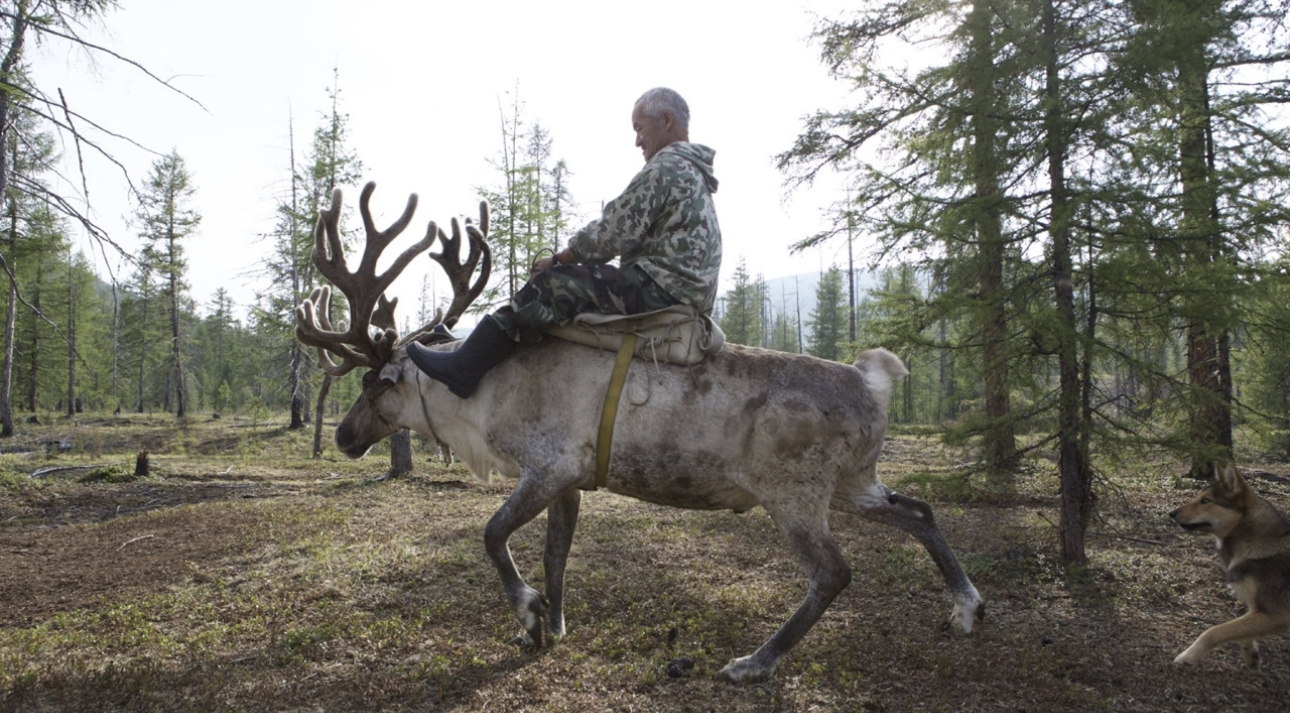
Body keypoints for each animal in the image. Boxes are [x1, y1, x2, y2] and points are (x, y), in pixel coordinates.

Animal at [1171, 464, 1290, 665]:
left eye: (1205, 501)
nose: (1171, 514)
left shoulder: (1276, 615)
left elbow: (1214, 632)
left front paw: (1188, 656)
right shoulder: (1258, 612)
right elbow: (1240, 632)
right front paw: (1251, 655)